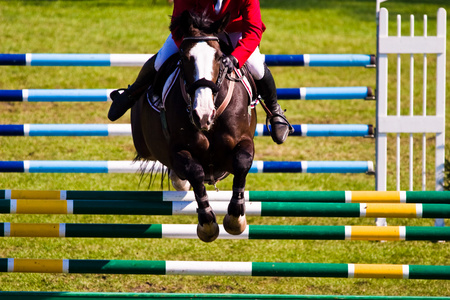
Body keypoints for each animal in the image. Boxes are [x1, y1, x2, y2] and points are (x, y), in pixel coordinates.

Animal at [130, 10, 256, 243]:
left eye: (219, 58)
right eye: (185, 58)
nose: (202, 115)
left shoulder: (243, 142)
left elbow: (242, 163)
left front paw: (236, 219)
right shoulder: (178, 150)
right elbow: (195, 172)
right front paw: (207, 224)